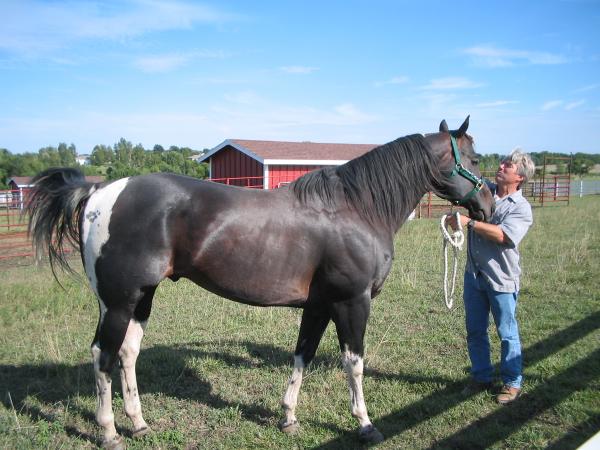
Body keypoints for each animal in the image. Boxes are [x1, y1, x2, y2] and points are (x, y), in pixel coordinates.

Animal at [27, 116, 492, 446]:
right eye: (472, 159)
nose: (488, 203)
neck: (356, 208)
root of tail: (101, 192)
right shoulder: (352, 301)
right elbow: (354, 362)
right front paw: (365, 424)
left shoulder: (319, 305)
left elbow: (303, 355)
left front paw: (288, 417)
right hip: (119, 301)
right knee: (102, 355)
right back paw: (109, 432)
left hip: (141, 297)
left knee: (127, 353)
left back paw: (139, 424)